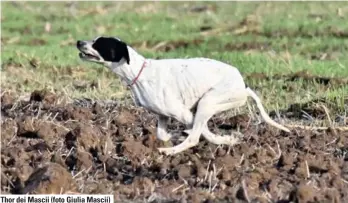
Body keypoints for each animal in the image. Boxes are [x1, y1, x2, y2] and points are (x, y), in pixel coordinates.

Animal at [77, 36, 290, 155]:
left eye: (99, 43)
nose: (78, 42)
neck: (139, 72)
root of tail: (243, 85)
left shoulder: (185, 114)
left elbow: (203, 133)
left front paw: (224, 140)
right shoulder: (163, 115)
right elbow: (162, 133)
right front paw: (173, 135)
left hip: (207, 102)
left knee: (194, 137)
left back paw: (170, 152)